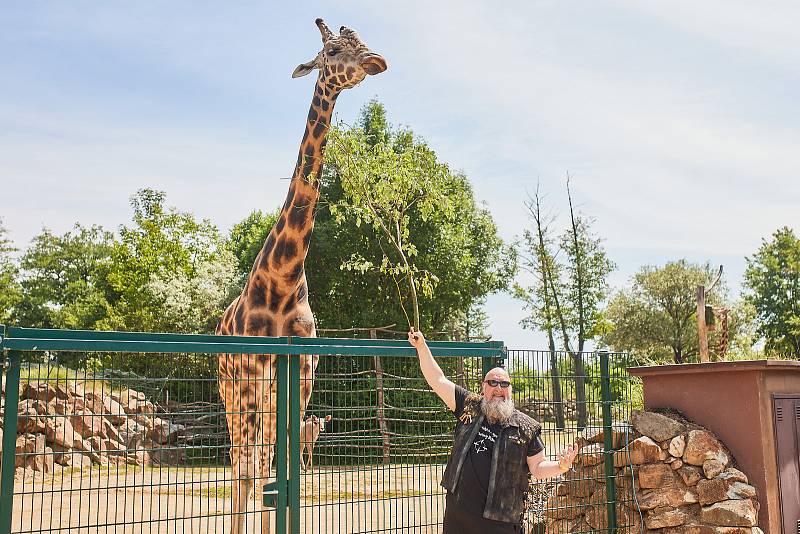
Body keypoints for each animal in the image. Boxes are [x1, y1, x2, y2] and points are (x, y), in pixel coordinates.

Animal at [216, 17, 384, 534]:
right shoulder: (253, 378)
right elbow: (254, 474)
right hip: (231, 393)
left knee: (260, 466)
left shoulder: (301, 379)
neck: (285, 277)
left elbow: (284, 476)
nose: (376, 61)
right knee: (241, 465)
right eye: (331, 51)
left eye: (360, 39)